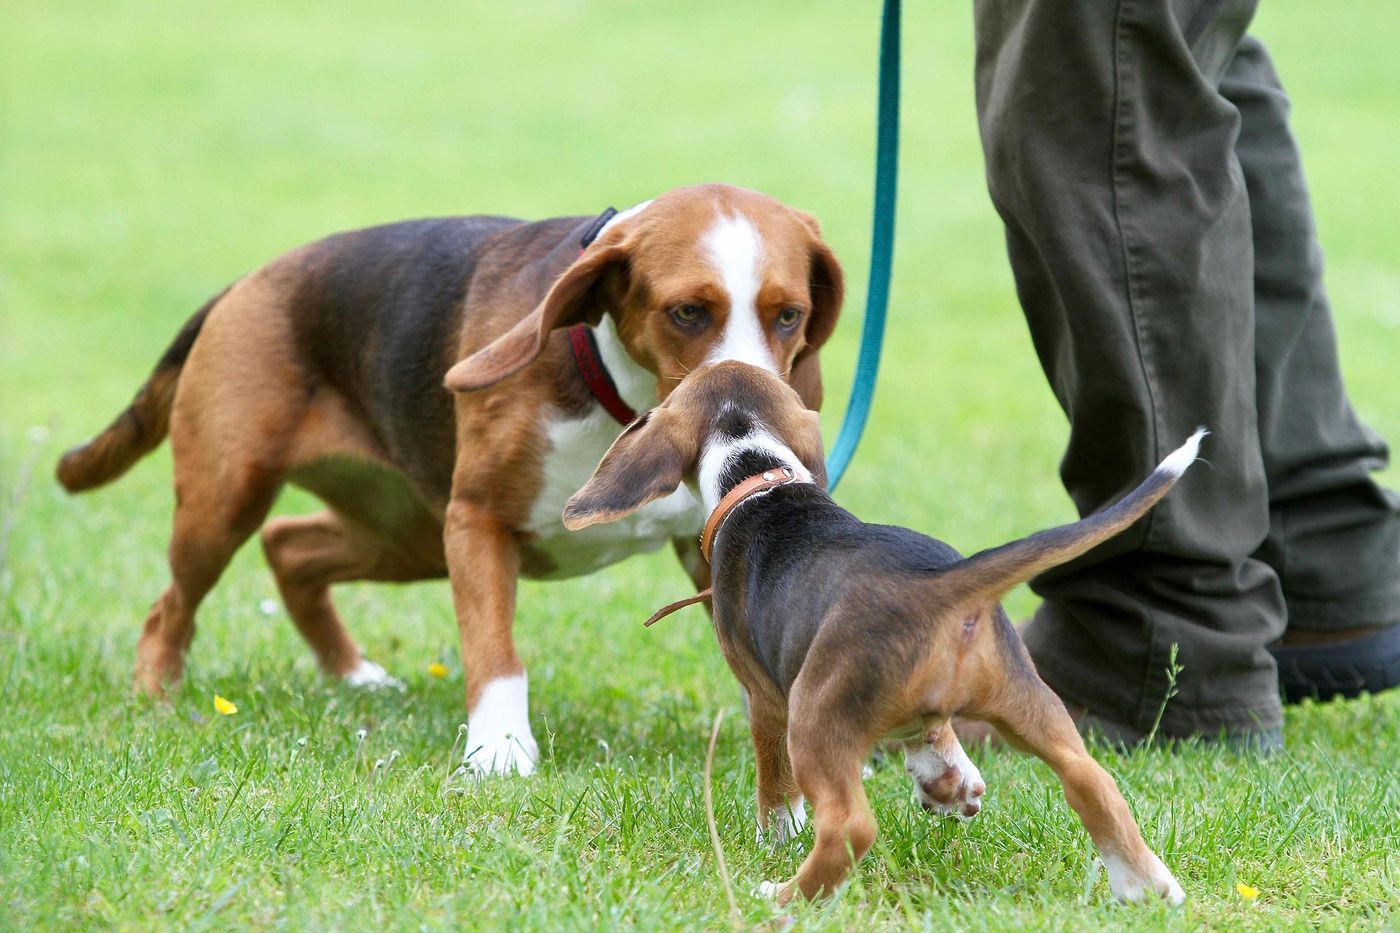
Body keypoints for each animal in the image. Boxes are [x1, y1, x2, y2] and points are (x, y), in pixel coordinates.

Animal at [54, 184, 840, 773]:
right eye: (687, 312)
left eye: (789, 314)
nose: (758, 411)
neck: (618, 392)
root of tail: (245, 283)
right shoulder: (477, 521)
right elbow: (495, 653)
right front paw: (500, 751)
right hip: (228, 504)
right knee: (171, 607)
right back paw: (156, 699)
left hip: (407, 535)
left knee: (290, 548)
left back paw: (352, 673)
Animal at [565, 361, 1192, 902]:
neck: (757, 472)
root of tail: (938, 585)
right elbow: (934, 735)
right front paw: (948, 781)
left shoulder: (763, 698)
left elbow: (776, 786)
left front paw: (775, 839)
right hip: (1028, 697)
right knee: (1093, 781)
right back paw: (1148, 886)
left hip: (814, 715)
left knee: (849, 827)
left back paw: (782, 896)